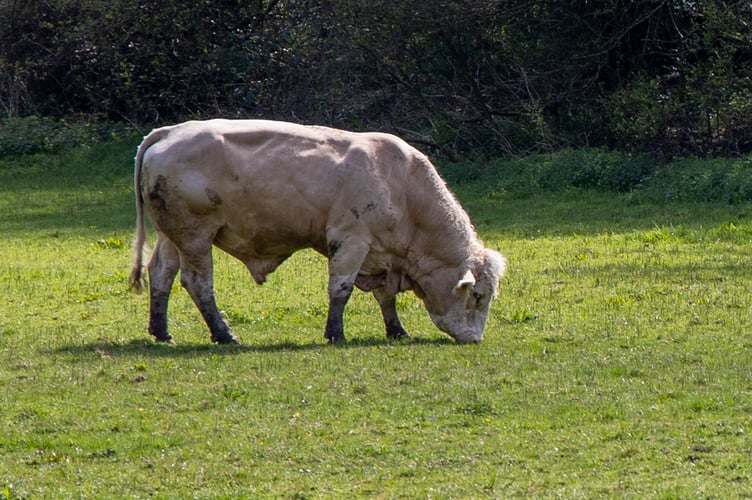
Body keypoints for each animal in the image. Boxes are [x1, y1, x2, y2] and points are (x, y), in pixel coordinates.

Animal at [129, 119, 506, 345]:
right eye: (477, 296)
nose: (476, 339)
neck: (401, 187)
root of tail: (170, 131)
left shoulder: (379, 253)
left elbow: (385, 297)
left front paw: (396, 330)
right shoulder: (351, 240)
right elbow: (340, 290)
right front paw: (335, 333)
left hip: (172, 237)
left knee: (160, 274)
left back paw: (162, 331)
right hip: (196, 237)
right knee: (198, 284)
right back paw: (224, 334)